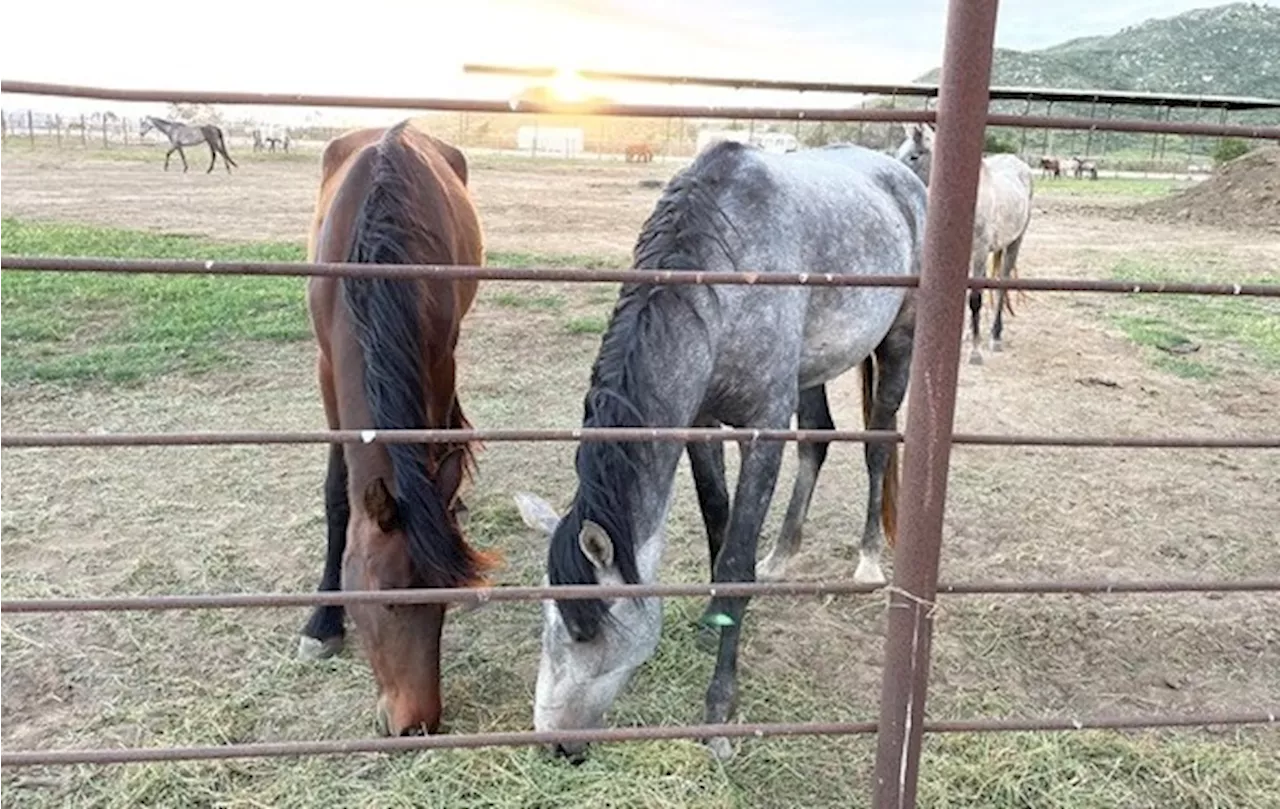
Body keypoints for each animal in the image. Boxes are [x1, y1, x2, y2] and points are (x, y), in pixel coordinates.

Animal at [296, 121, 496, 737]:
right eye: (385, 600)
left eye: (443, 604)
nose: (417, 725)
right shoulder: (327, 370)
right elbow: (338, 495)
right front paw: (322, 622)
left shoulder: (440, 358)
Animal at [506, 140, 921, 762]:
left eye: (586, 631)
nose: (555, 744)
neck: (725, 275)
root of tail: (903, 172)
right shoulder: (700, 425)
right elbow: (718, 524)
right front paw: (710, 621)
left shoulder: (762, 430)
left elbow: (733, 561)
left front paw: (719, 715)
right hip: (812, 371)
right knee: (818, 441)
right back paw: (782, 555)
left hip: (898, 344)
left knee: (877, 445)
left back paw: (868, 559)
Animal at [896, 122, 1034, 363]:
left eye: (914, 156)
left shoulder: (979, 251)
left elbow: (975, 298)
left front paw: (975, 352)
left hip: (1014, 243)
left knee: (1002, 285)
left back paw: (995, 336)